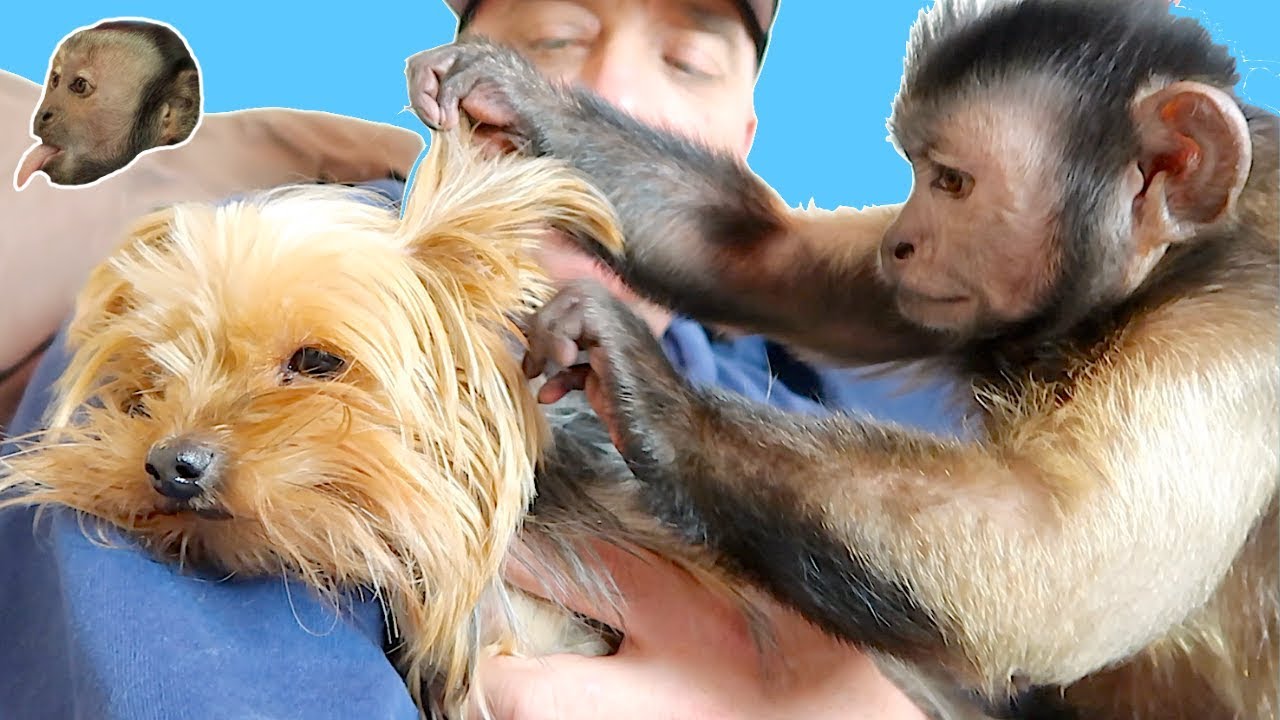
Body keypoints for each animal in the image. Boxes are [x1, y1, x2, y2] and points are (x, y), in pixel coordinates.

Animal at [405, 1, 1280, 717]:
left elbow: (1051, 569)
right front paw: (513, 93)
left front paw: (635, 377)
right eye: (920, 176)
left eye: (953, 182)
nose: (903, 241)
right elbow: (768, 260)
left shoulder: (1232, 327)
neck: (1172, 265)